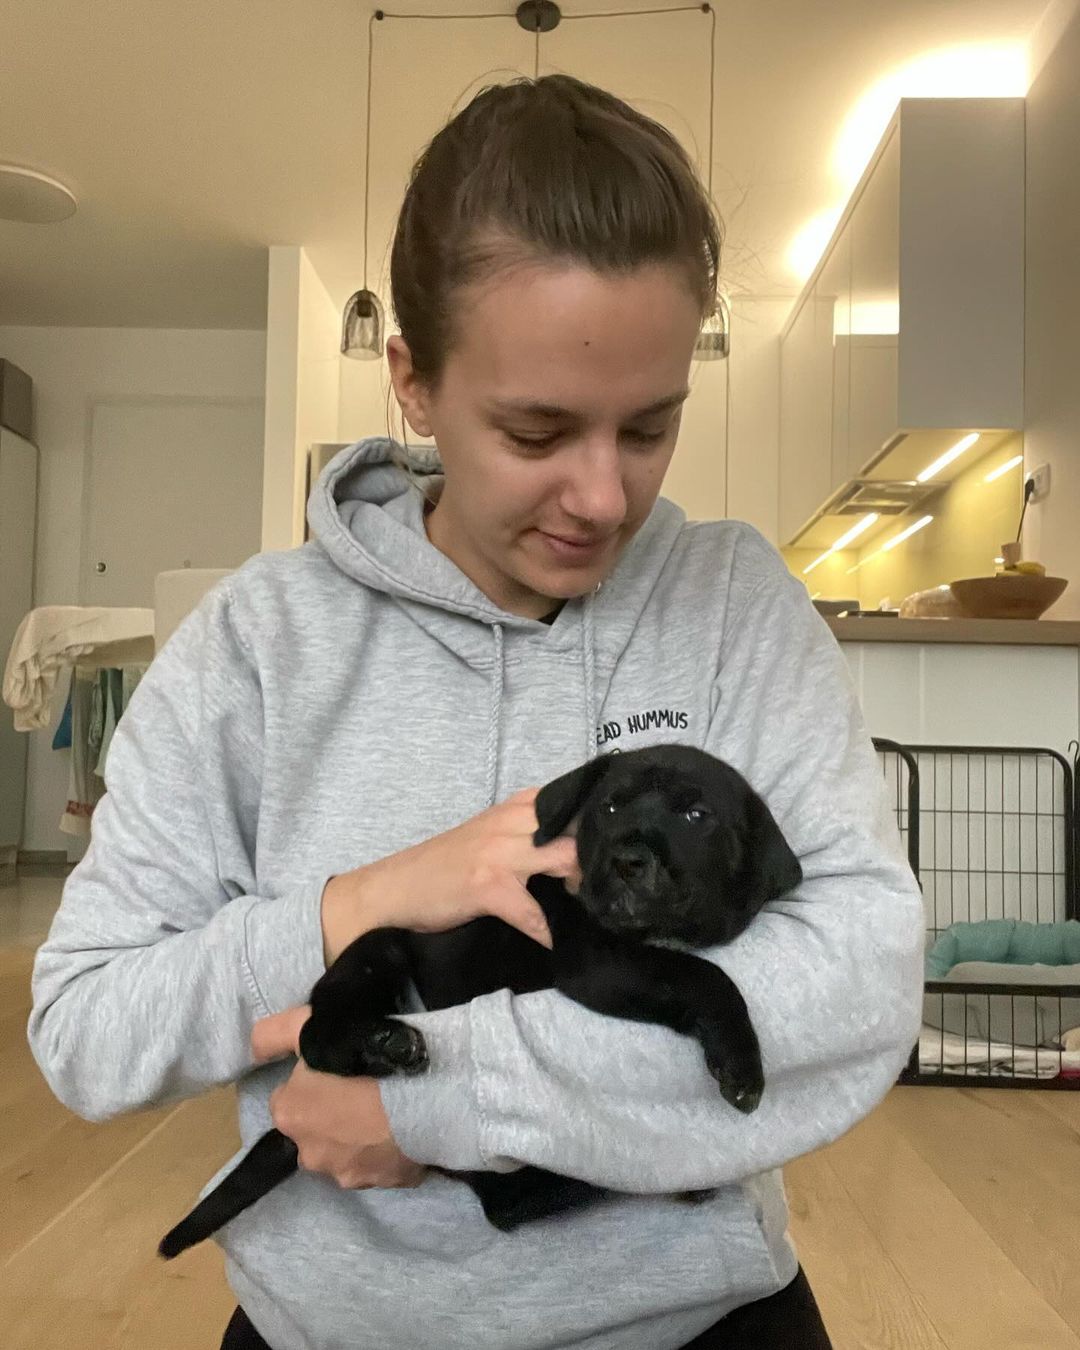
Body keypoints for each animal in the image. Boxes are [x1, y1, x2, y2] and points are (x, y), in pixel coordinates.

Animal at [160, 739, 799, 1252]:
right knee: (320, 1037)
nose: (626, 861)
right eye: (610, 807)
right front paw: (742, 1061)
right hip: (377, 952)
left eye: (697, 815)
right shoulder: (598, 959)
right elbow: (703, 976)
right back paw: (385, 1045)